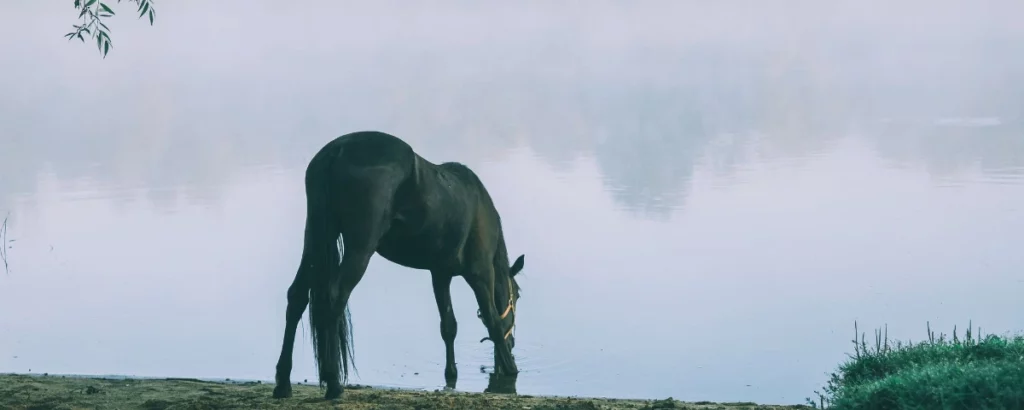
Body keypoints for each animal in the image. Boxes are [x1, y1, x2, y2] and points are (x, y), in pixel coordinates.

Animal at [271, 131, 526, 400]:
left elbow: (448, 326)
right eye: (517, 296)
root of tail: (337, 151)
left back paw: (283, 383)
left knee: (297, 297)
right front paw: (511, 370)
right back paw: (333, 383)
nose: (512, 343)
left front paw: (451, 374)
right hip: (360, 248)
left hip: (316, 238)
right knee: (334, 297)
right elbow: (493, 321)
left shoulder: (440, 274)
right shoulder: (481, 274)